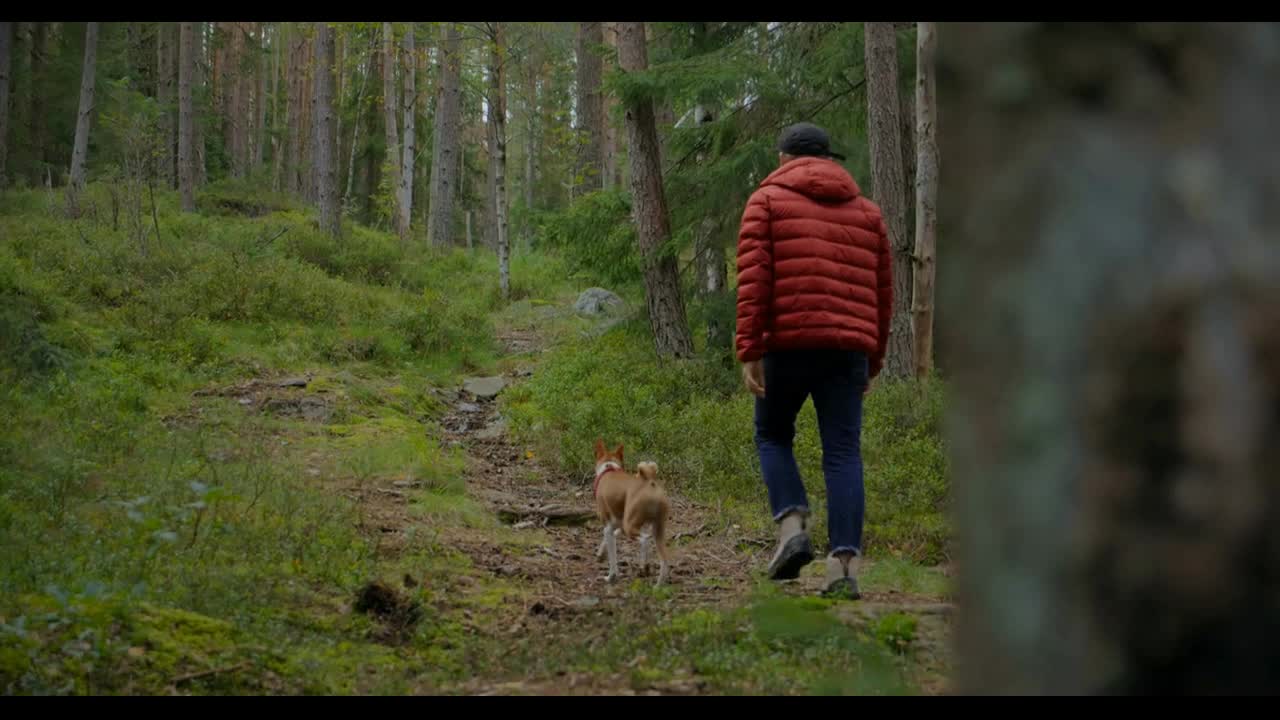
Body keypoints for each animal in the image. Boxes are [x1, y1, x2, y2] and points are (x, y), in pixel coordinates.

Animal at [588, 438, 670, 584]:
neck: (609, 469)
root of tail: (650, 483)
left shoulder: (608, 528)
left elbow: (613, 559)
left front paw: (611, 576)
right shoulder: (616, 525)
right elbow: (610, 538)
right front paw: (600, 553)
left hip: (630, 526)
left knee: (644, 539)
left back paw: (644, 566)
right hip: (658, 529)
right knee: (664, 561)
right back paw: (658, 585)